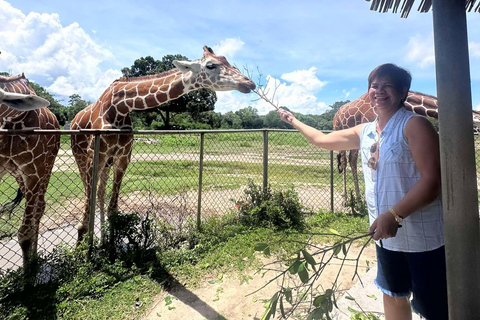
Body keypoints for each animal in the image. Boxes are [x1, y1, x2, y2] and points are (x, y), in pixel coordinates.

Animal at [0, 73, 60, 270]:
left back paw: (34, 259)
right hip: (17, 174)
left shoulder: (33, 171)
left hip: (46, 167)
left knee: (40, 207)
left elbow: (24, 234)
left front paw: (29, 275)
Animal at [70, 46, 255, 242]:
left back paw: (103, 238)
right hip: (81, 157)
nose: (249, 83)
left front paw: (109, 245)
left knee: (100, 192)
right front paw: (84, 244)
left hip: (107, 162)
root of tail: (74, 119)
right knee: (90, 191)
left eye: (226, 59)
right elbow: (85, 216)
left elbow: (113, 208)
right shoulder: (94, 156)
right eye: (211, 65)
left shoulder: (122, 157)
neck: (120, 107)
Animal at [332, 90, 480, 200]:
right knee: (344, 161)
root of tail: (336, 114)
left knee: (352, 160)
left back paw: (357, 199)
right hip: (339, 131)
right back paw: (346, 198)